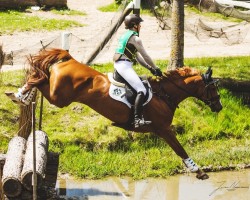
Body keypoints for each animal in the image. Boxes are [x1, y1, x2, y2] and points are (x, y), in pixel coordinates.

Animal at [16, 48, 223, 180]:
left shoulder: (162, 130)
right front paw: (199, 171)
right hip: (59, 98)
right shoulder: (165, 129)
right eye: (213, 88)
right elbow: (181, 150)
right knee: (39, 79)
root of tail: (70, 60)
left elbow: (179, 150)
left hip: (59, 96)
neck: (164, 94)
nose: (219, 107)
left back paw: (22, 96)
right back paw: (20, 95)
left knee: (41, 77)